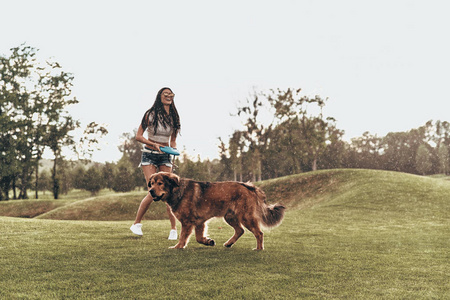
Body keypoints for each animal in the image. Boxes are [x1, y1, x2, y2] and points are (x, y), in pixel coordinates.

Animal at [149, 172, 284, 250]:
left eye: (160, 183)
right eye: (151, 183)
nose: (150, 191)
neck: (178, 191)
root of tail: (249, 186)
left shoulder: (187, 222)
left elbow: (183, 237)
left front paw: (177, 247)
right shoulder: (200, 222)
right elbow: (199, 238)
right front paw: (208, 241)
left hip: (246, 217)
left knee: (259, 233)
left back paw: (259, 249)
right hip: (229, 217)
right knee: (240, 230)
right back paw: (229, 243)